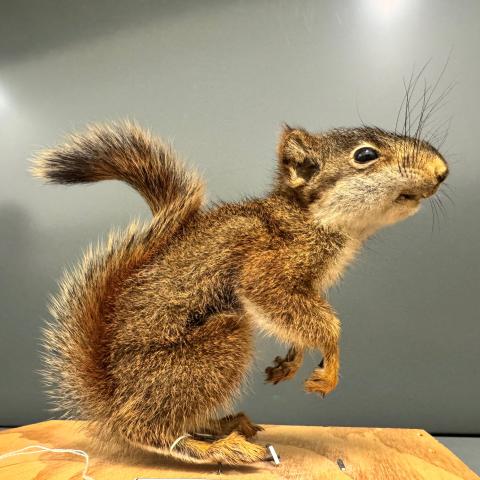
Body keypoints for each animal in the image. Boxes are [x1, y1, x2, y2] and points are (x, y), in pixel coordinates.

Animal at [31, 120, 448, 464]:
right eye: (365, 155)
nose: (441, 171)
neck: (308, 218)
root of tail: (113, 398)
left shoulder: (307, 288)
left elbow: (301, 320)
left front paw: (292, 361)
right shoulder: (266, 268)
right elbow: (311, 317)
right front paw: (329, 365)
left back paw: (222, 425)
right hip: (209, 353)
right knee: (144, 428)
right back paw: (216, 449)